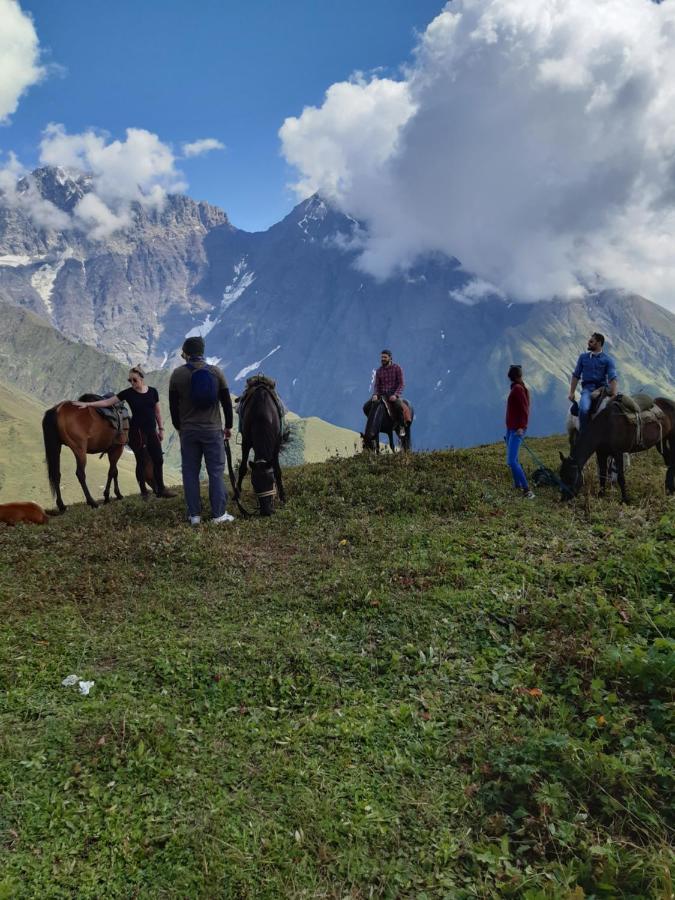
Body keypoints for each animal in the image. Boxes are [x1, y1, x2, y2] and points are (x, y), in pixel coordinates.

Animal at [235, 384, 286, 516]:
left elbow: (277, 470)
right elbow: (242, 468)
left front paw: (283, 497)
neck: (262, 415)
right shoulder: (246, 442)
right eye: (254, 483)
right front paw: (237, 494)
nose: (266, 511)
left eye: (271, 481)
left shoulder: (276, 444)